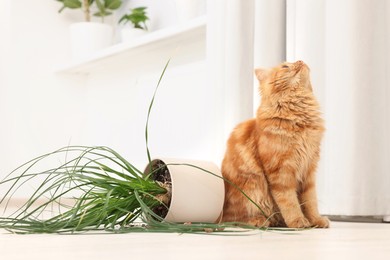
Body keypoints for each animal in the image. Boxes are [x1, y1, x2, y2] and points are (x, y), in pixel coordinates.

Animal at [222, 60, 330, 228]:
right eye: (285, 66)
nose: (301, 61)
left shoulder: (309, 171)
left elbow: (311, 202)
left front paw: (316, 220)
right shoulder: (280, 172)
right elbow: (290, 202)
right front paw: (298, 221)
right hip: (252, 190)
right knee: (233, 219)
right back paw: (259, 221)